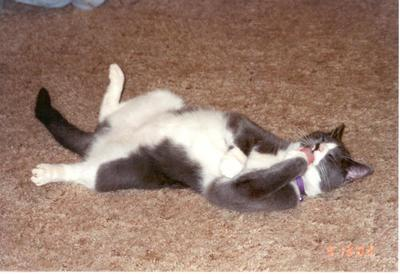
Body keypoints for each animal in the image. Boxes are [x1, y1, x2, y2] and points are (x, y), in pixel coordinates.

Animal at [30, 63, 372, 212]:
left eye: (332, 158)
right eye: (319, 137)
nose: (315, 146)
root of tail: (100, 140)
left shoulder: (236, 193)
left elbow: (258, 177)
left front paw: (299, 159)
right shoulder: (243, 124)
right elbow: (247, 137)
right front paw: (233, 159)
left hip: (116, 171)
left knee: (84, 171)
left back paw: (46, 172)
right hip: (165, 98)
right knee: (108, 111)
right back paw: (116, 74)